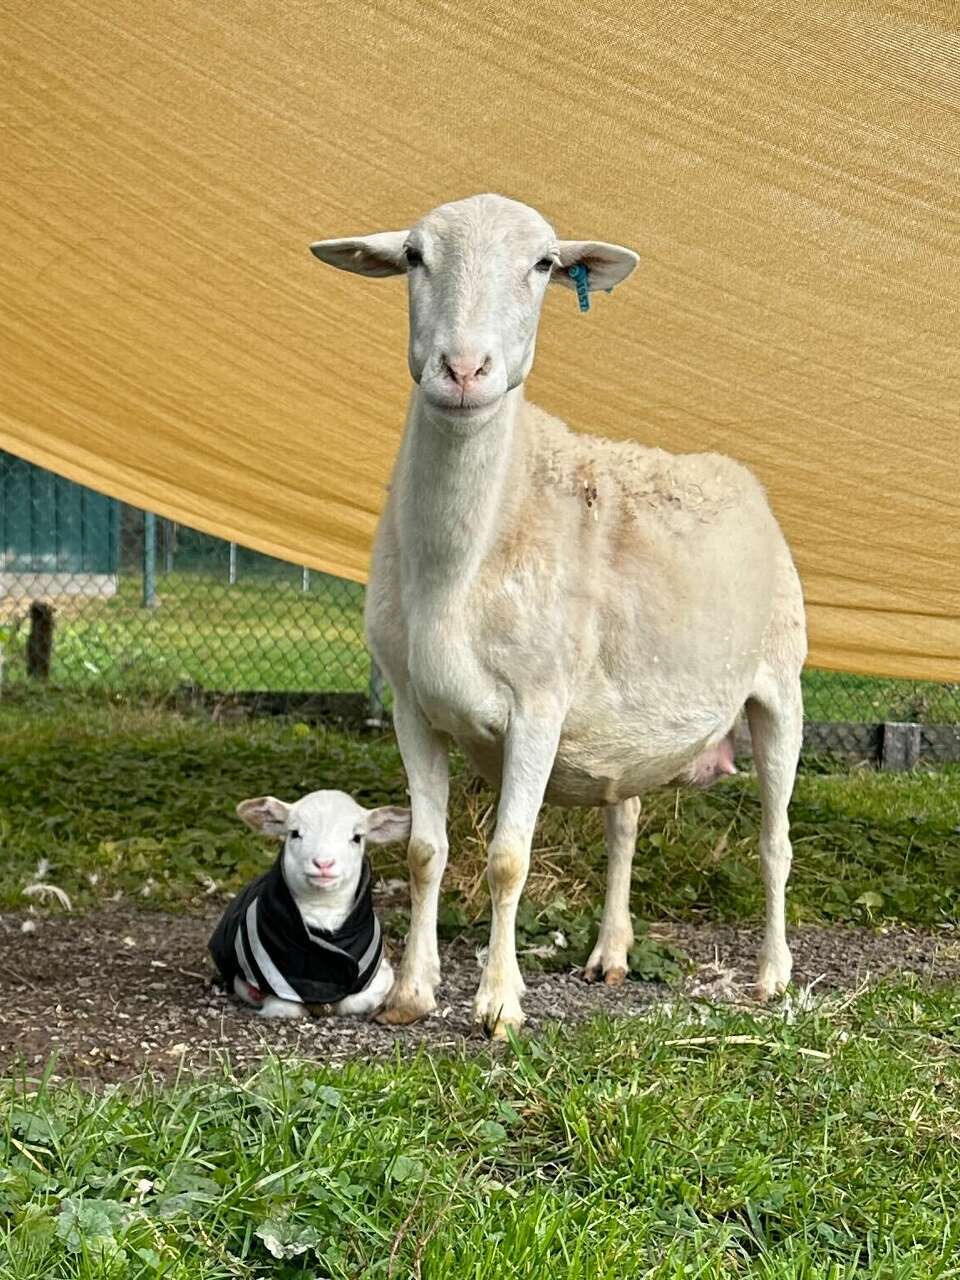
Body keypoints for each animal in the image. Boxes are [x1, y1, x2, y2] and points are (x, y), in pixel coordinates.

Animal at [208, 790, 410, 1019]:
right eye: (295, 833)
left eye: (357, 837)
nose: (323, 863)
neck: (323, 911)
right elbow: (284, 1005)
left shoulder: (379, 972)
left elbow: (357, 1000)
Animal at [309, 194, 806, 1036]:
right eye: (412, 257)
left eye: (543, 264)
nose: (464, 370)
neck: (462, 560)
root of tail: (736, 474)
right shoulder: (411, 702)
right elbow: (425, 853)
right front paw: (411, 992)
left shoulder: (538, 703)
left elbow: (509, 858)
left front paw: (498, 1004)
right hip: (629, 723)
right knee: (624, 823)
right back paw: (611, 953)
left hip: (781, 683)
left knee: (775, 843)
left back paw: (772, 975)